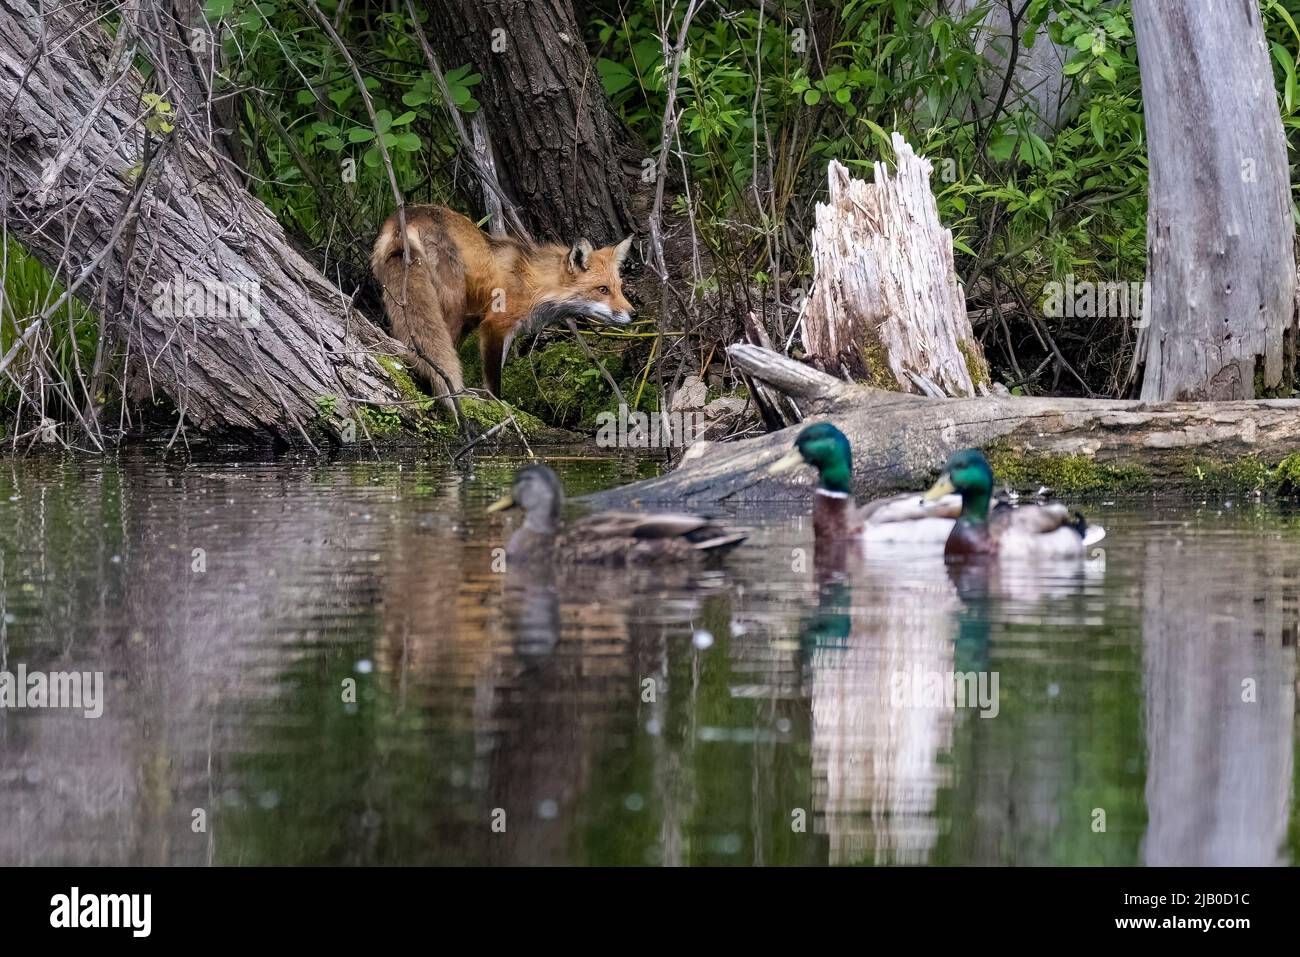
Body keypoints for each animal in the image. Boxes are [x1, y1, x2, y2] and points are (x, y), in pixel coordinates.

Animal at [371, 208, 634, 408]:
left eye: (619, 288)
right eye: (602, 290)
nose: (633, 314)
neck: (531, 281)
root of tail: (408, 214)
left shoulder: (477, 323)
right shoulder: (493, 325)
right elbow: (493, 381)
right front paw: (497, 404)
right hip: (451, 305)